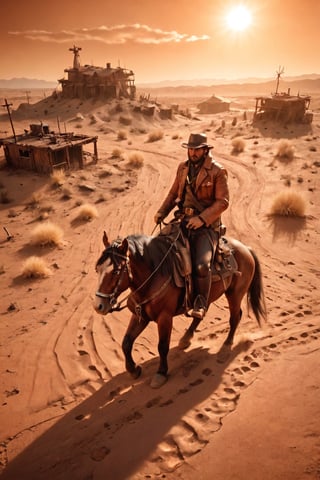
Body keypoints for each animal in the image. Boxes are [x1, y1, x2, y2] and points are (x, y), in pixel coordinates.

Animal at [94, 228, 266, 386]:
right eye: (97, 269)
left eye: (116, 271)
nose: (98, 306)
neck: (153, 275)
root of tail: (246, 249)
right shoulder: (140, 316)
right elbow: (126, 342)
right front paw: (133, 369)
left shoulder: (164, 317)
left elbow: (162, 346)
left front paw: (161, 372)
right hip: (209, 295)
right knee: (201, 313)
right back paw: (186, 338)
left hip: (235, 294)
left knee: (235, 317)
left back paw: (226, 344)